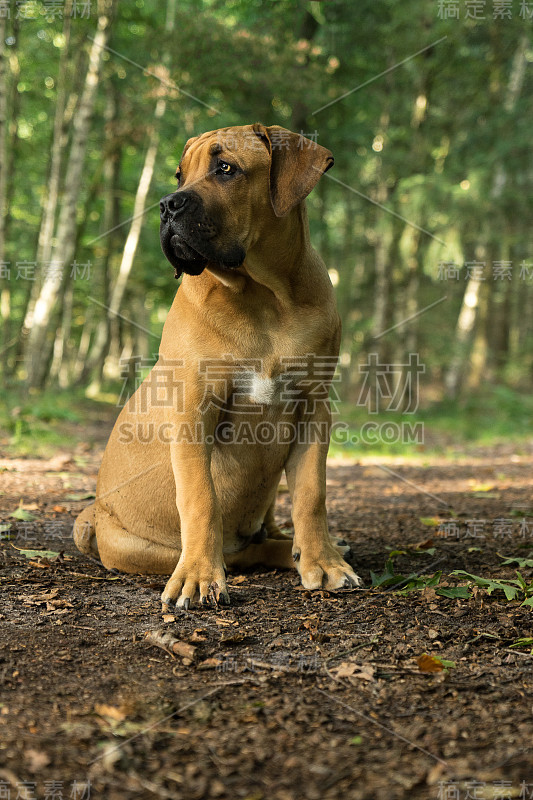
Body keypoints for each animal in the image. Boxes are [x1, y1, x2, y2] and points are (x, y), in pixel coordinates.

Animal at [74, 122, 362, 608]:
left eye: (225, 168)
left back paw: (306, 549)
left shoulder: (313, 409)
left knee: (263, 535)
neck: (263, 295)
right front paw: (198, 577)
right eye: (178, 175)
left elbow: (311, 494)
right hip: (128, 541)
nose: (166, 205)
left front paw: (323, 563)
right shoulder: (194, 411)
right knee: (240, 552)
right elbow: (200, 499)